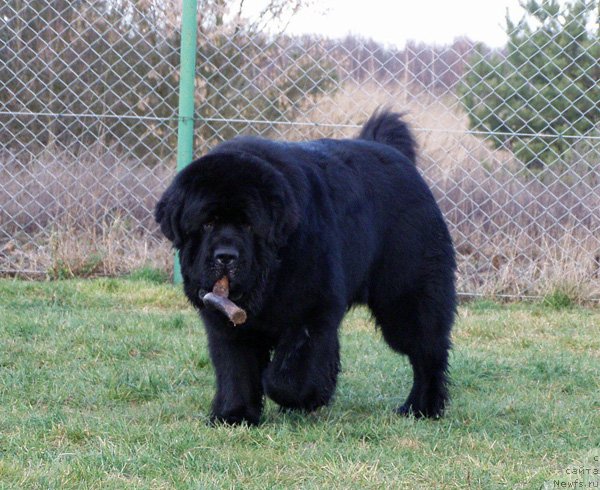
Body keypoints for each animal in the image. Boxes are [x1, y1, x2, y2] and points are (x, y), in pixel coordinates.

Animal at [155, 111, 454, 424]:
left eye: (248, 225)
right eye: (208, 223)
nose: (226, 256)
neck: (269, 278)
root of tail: (394, 153)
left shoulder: (312, 308)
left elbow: (288, 376)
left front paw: (306, 397)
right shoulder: (226, 324)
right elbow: (235, 368)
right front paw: (234, 415)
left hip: (407, 298)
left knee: (427, 350)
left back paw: (422, 407)